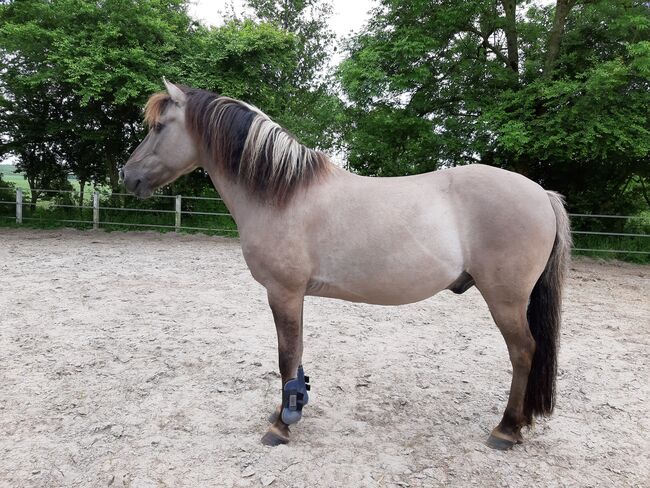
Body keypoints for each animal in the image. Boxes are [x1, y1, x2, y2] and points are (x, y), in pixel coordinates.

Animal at [120, 81, 568, 450]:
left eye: (159, 127)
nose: (127, 175)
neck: (282, 194)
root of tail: (541, 193)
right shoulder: (295, 294)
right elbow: (296, 354)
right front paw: (292, 407)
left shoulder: (282, 291)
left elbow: (285, 355)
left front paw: (280, 426)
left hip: (505, 299)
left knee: (523, 352)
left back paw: (506, 429)